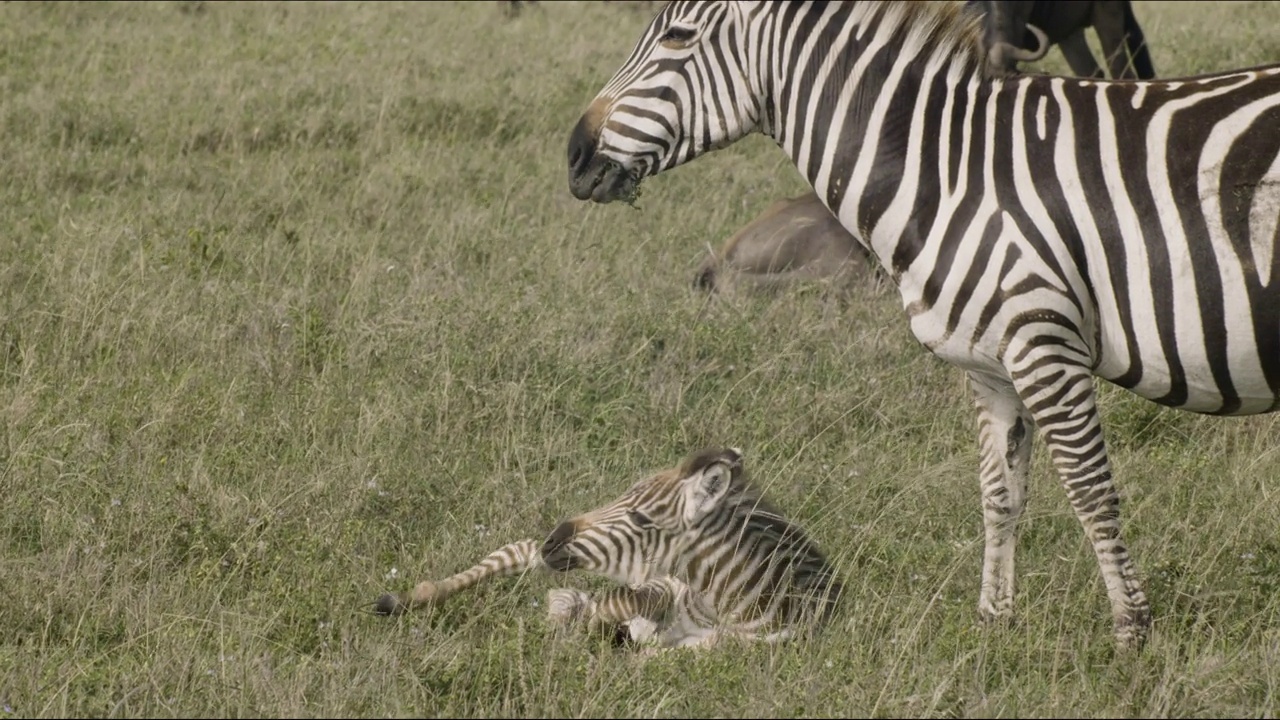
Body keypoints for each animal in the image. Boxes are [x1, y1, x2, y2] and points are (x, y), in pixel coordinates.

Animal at [373, 445, 844, 648]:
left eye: (641, 519)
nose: (554, 536)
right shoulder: (665, 584)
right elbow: (623, 602)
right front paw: (570, 626)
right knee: (518, 552)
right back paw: (405, 599)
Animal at [565, 0, 1280, 650]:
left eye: (678, 36)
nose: (573, 155)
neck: (950, 172)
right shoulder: (991, 362)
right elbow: (999, 493)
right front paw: (994, 624)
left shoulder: (1042, 339)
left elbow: (1089, 490)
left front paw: (1132, 632)